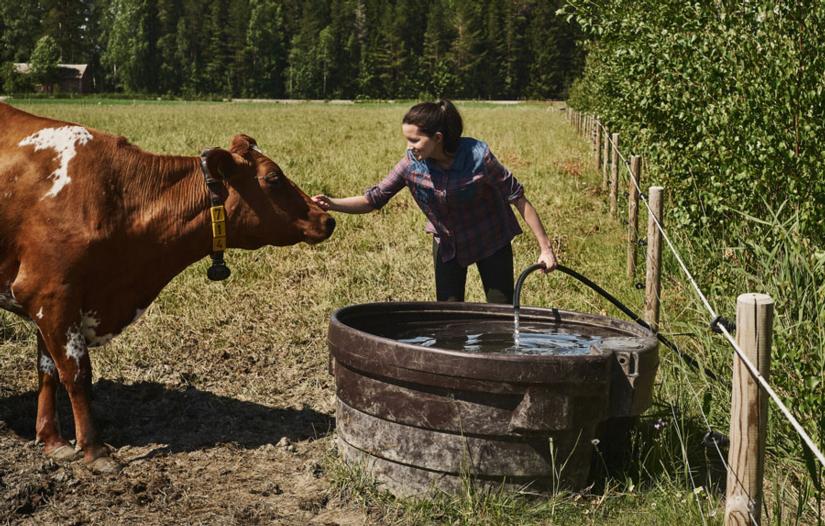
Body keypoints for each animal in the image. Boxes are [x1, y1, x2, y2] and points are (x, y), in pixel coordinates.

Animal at [0, 103, 334, 474]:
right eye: (273, 178)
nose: (327, 218)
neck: (117, 197)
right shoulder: (51, 295)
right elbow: (75, 374)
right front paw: (94, 449)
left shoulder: (50, 302)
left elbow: (48, 372)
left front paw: (52, 440)